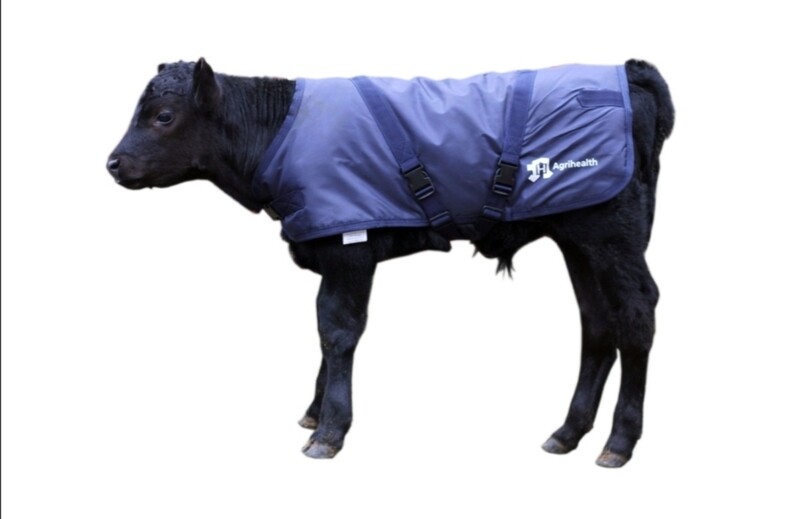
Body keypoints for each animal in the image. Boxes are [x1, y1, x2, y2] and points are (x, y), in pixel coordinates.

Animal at [107, 58, 674, 467]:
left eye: (162, 116)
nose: (112, 163)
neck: (281, 134)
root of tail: (628, 71)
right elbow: (326, 330)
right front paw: (314, 414)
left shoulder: (349, 248)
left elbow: (337, 331)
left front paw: (330, 431)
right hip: (578, 238)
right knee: (596, 322)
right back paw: (568, 433)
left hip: (612, 235)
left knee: (636, 316)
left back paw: (619, 442)